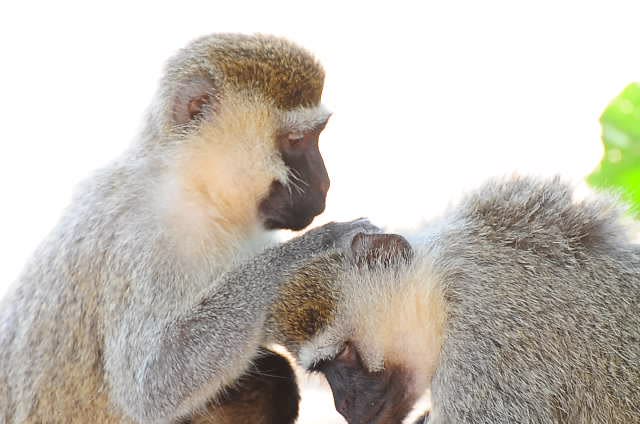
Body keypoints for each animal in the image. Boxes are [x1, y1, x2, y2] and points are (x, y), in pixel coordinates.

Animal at [0, 33, 377, 423]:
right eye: (297, 141)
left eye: (315, 136)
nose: (324, 184)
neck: (194, 189)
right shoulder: (146, 237)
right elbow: (151, 384)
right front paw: (308, 250)